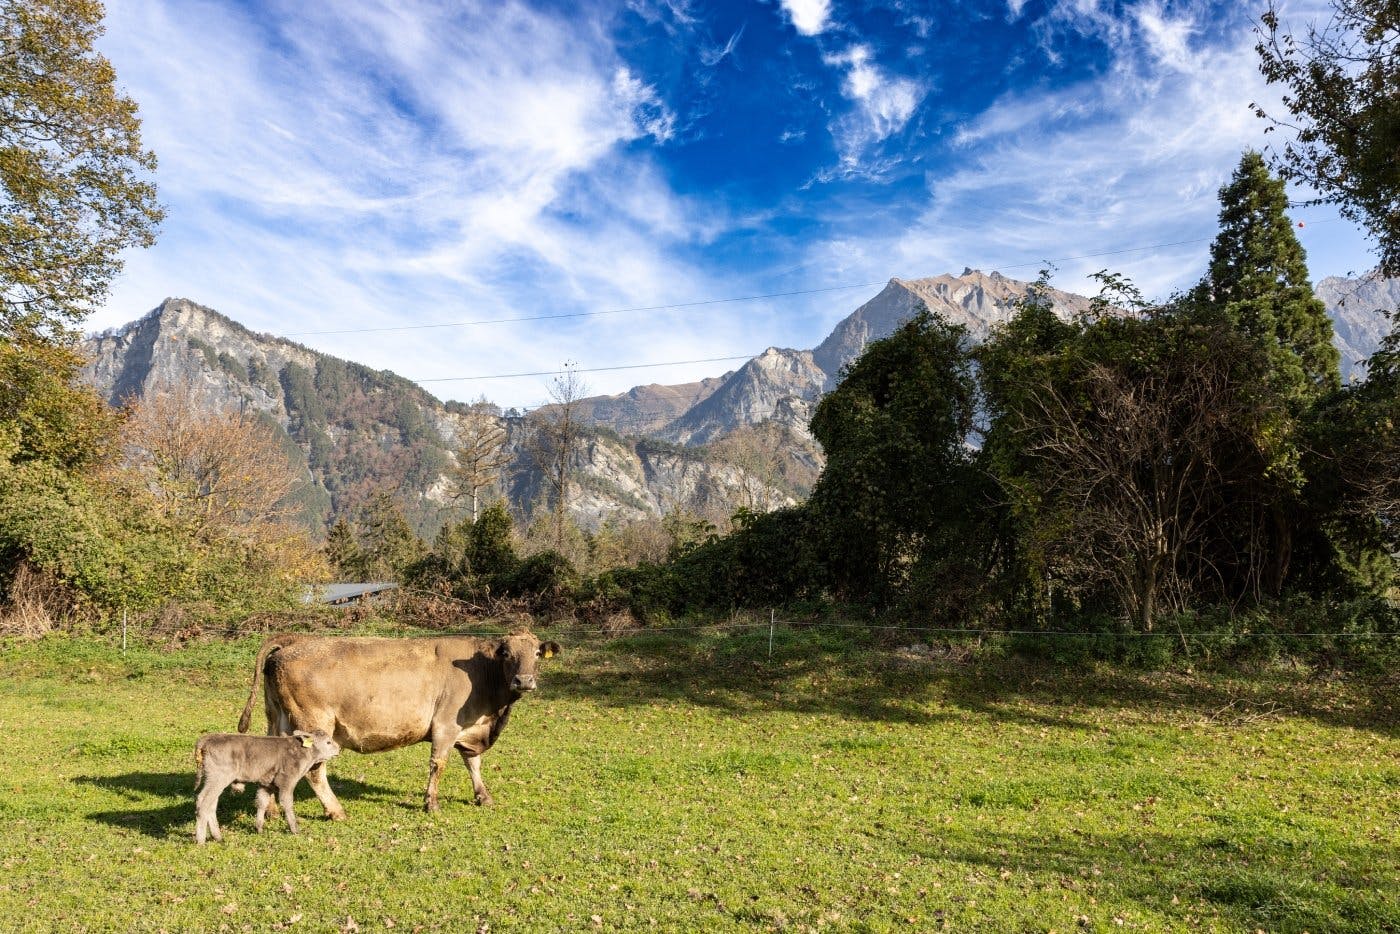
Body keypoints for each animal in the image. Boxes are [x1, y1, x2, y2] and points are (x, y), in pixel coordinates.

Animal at [193, 729, 341, 844]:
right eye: (328, 742)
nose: (339, 748)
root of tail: (207, 739)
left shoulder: (266, 784)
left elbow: (262, 802)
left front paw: (259, 828)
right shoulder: (286, 780)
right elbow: (287, 803)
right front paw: (294, 829)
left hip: (214, 779)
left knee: (211, 804)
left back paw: (217, 836)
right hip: (218, 777)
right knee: (203, 801)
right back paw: (201, 840)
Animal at [236, 631, 561, 817]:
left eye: (536, 654)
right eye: (506, 653)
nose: (524, 681)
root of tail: (295, 641)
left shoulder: (469, 729)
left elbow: (473, 763)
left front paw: (483, 796)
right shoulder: (445, 725)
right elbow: (439, 764)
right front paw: (432, 804)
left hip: (277, 718)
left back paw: (271, 810)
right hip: (315, 723)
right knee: (315, 771)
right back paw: (336, 811)